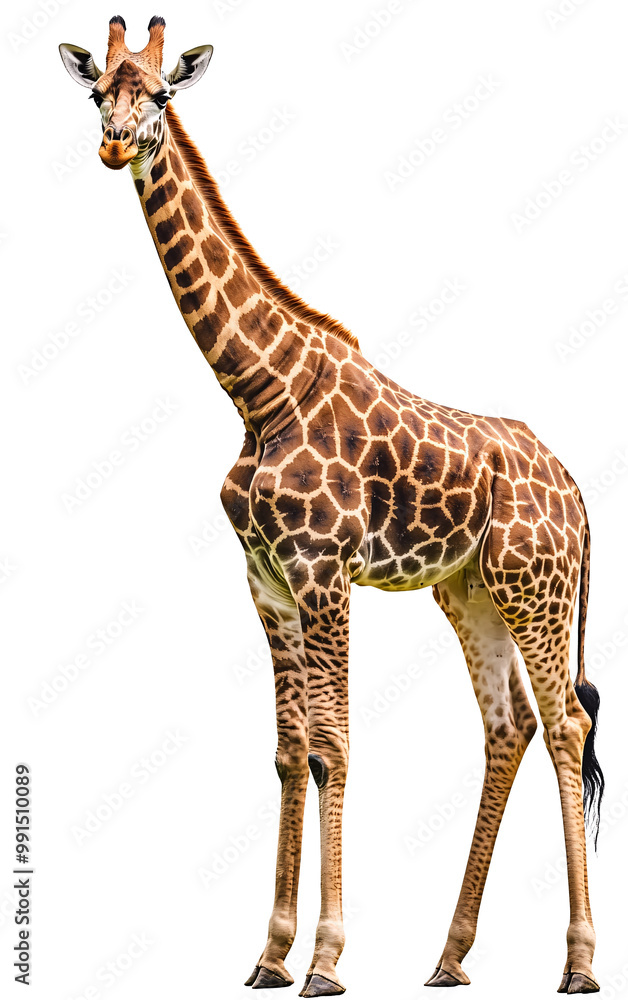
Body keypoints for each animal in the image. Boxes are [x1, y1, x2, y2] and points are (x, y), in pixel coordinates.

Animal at [60, 17, 605, 997]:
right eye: (96, 93)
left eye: (161, 94)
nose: (117, 144)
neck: (259, 390)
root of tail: (576, 485)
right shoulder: (267, 581)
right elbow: (286, 751)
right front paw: (270, 953)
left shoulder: (324, 571)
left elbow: (333, 746)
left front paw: (325, 957)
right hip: (470, 592)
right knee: (507, 726)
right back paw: (449, 956)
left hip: (536, 589)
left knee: (567, 725)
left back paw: (578, 963)